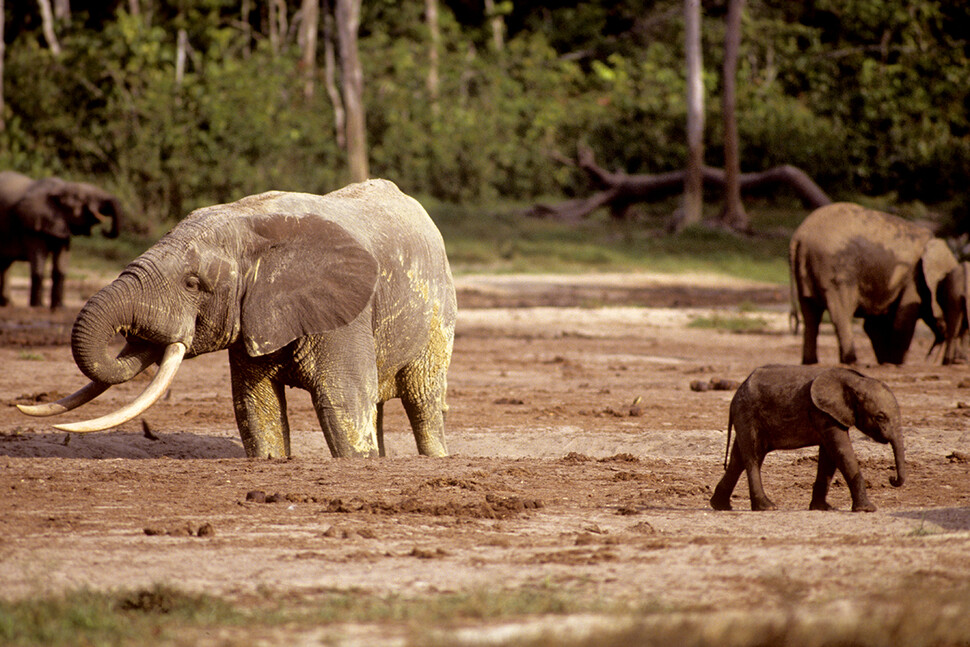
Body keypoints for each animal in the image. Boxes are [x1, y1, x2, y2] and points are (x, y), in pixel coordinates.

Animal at [0, 172, 125, 308]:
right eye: (84, 198)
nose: (104, 230)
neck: (60, 188)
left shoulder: (61, 225)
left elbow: (61, 266)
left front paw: (59, 306)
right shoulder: (33, 224)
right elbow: (39, 259)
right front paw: (38, 306)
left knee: (5, 265)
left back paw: (7, 303)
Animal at [18, 181, 458, 460]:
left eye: (194, 283)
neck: (250, 222)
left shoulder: (344, 315)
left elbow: (342, 400)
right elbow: (256, 407)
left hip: (439, 314)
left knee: (423, 399)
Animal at [788, 202, 960, 364]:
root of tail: (799, 237)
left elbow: (874, 325)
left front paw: (885, 362)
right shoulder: (914, 277)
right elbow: (902, 322)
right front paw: (895, 363)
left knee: (810, 316)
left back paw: (810, 362)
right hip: (835, 270)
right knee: (840, 313)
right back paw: (852, 362)